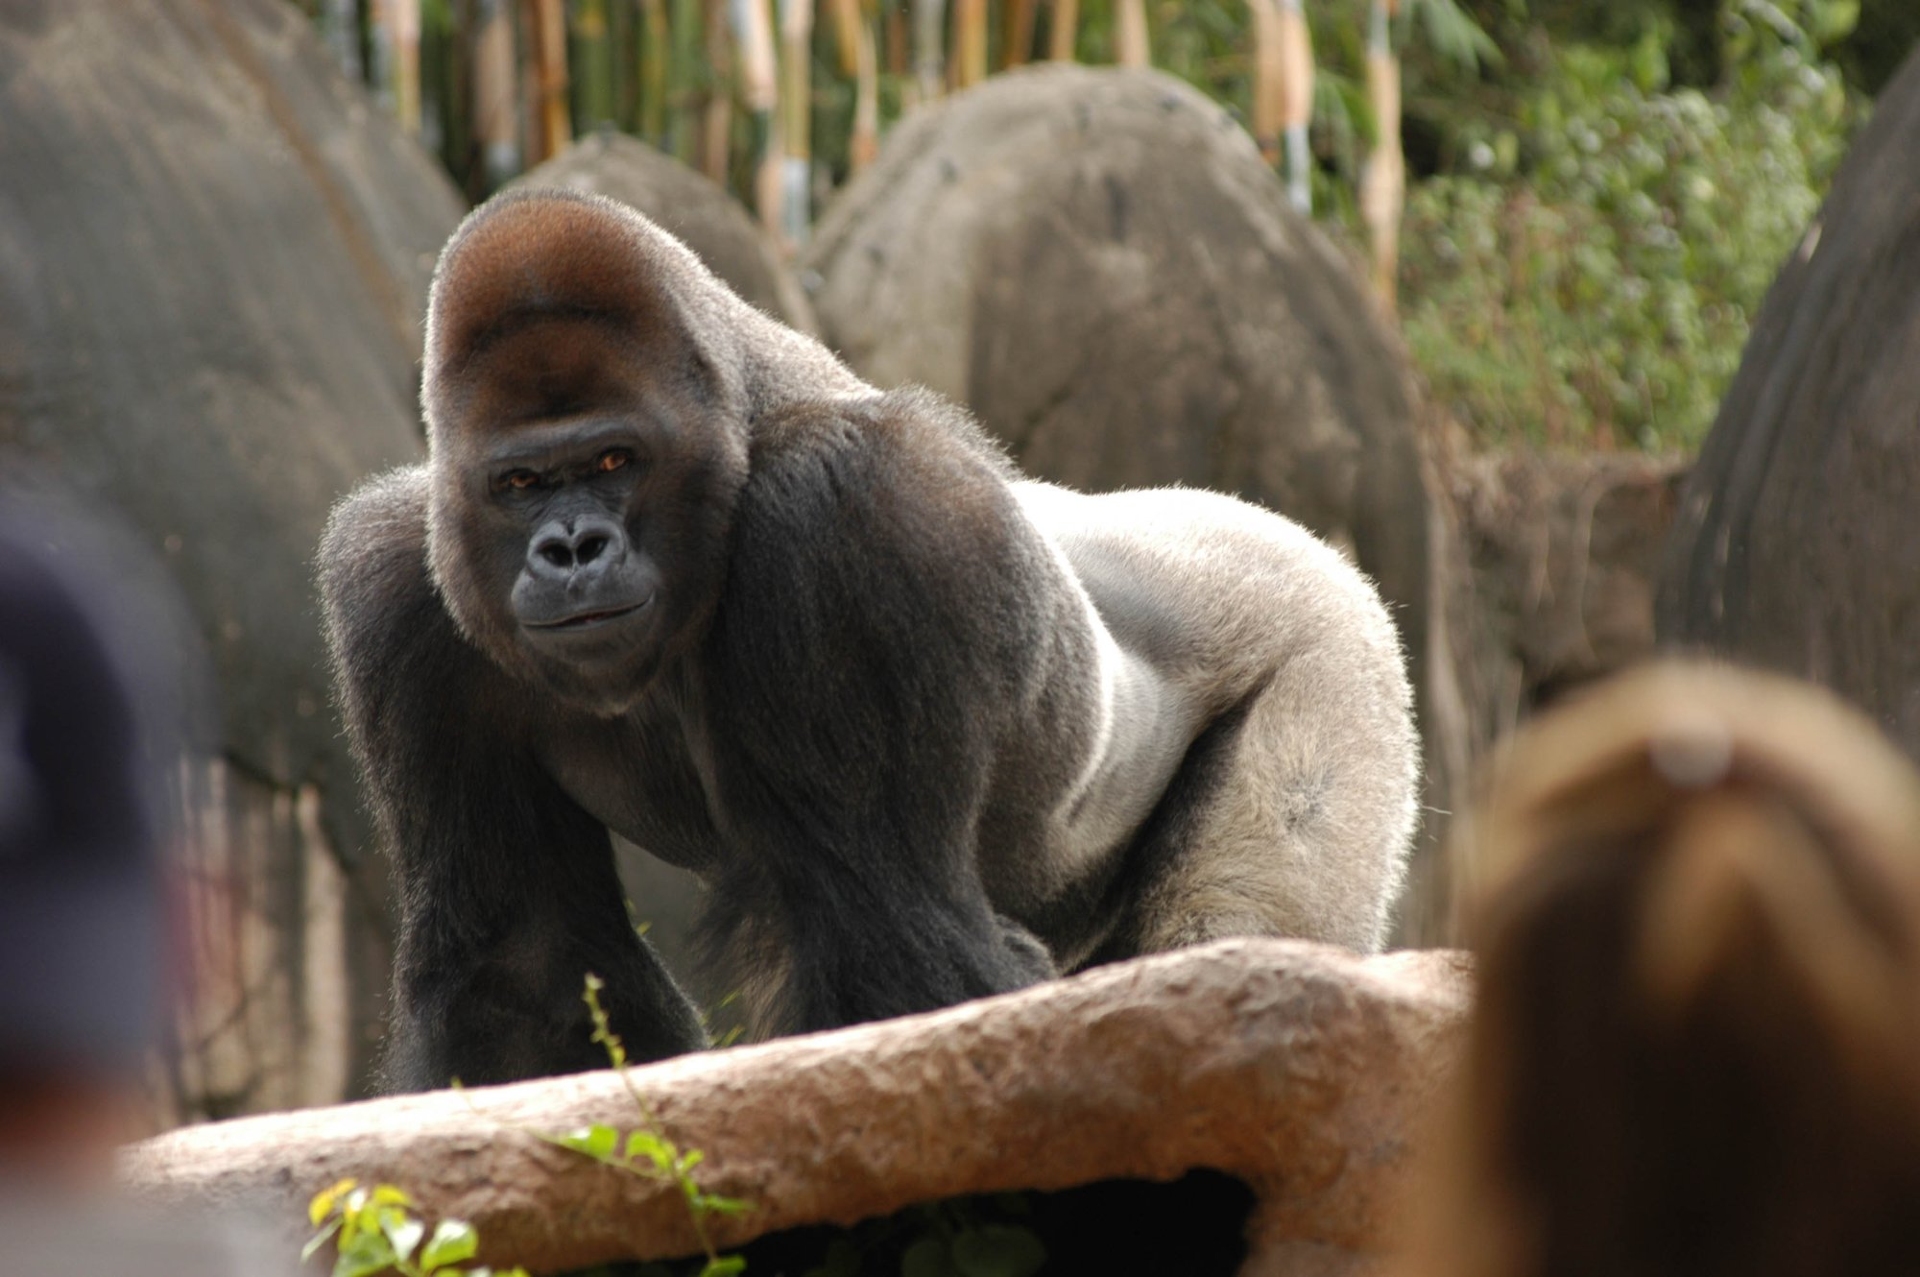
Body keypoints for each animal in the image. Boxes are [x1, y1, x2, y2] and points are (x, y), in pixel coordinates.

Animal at [319, 189, 1418, 1092]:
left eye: (615, 459)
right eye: (519, 483)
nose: (572, 549)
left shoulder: (845, 511)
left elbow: (889, 940)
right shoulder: (406, 594)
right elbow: (525, 970)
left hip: (1335, 640)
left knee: (1237, 937)